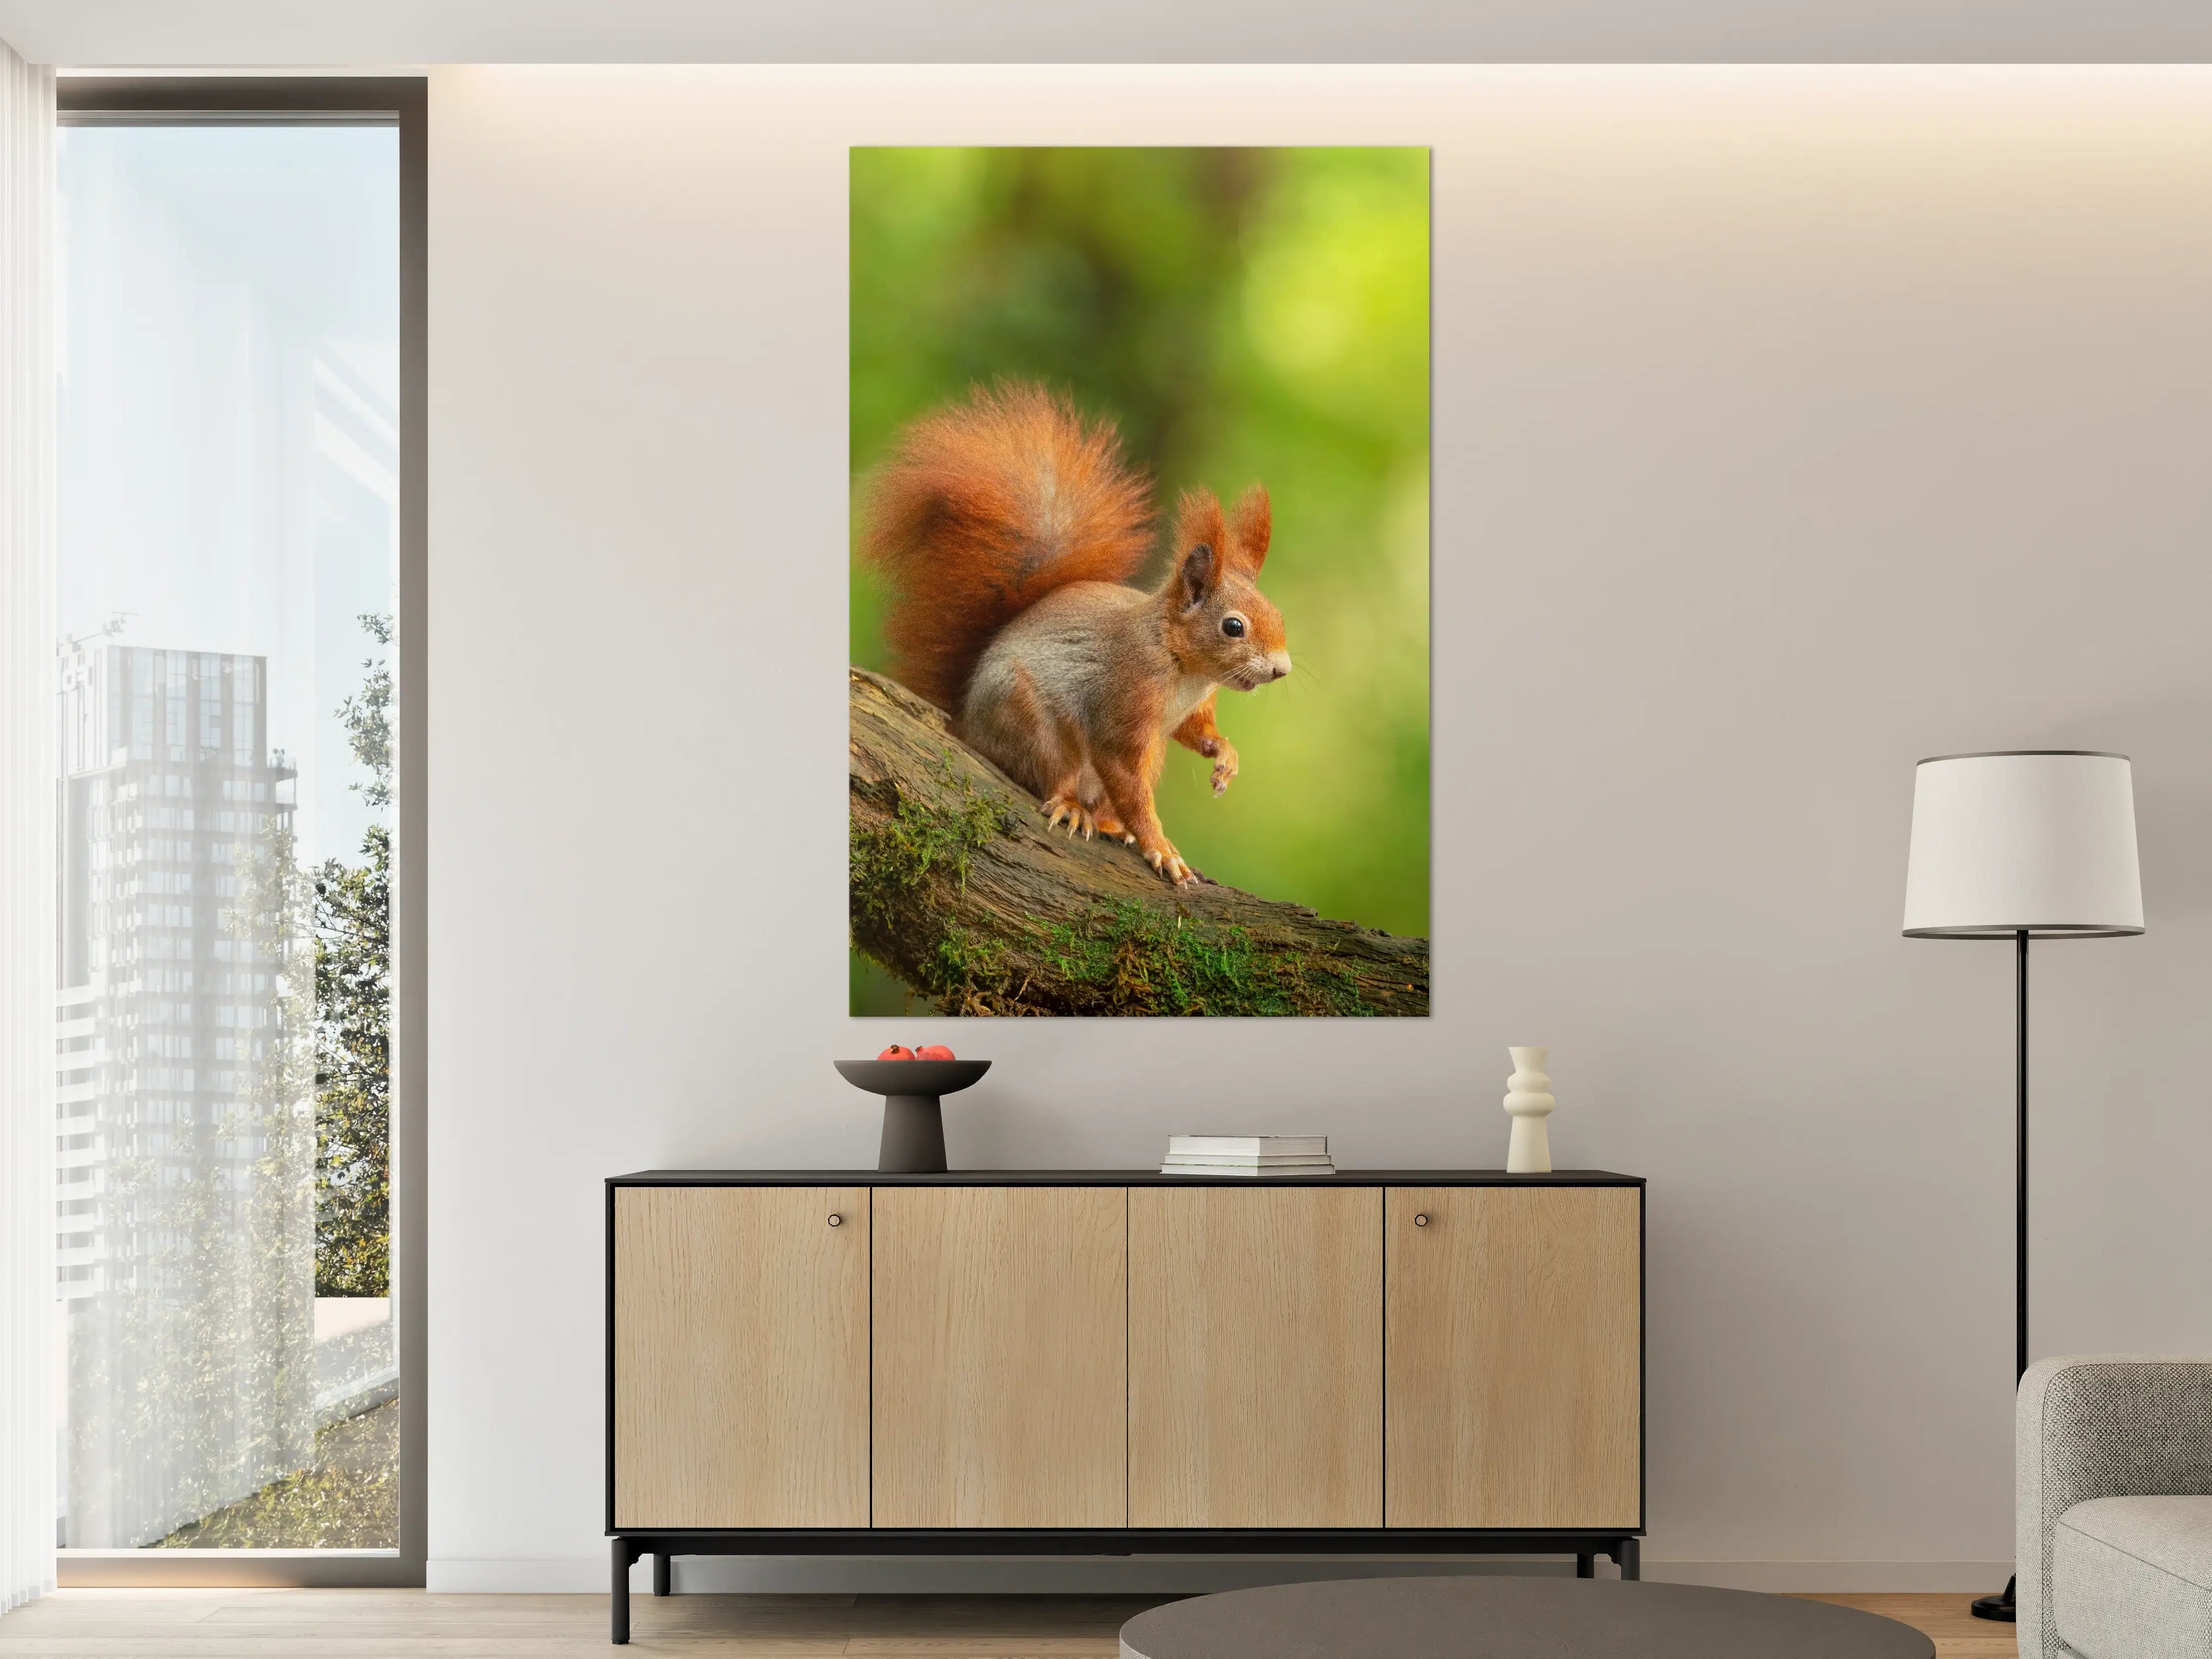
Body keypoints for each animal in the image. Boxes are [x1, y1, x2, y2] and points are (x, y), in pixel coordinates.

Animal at [862, 382, 1292, 887]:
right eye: (1234, 627)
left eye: (1279, 615)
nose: (1282, 669)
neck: (1184, 667)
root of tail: (964, 723)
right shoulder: (1124, 702)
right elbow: (1127, 780)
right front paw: (1160, 846)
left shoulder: (1190, 710)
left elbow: (1195, 732)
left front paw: (1225, 756)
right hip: (1027, 719)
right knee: (1050, 775)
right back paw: (1072, 807)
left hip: (1150, 755)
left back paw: (1107, 823)